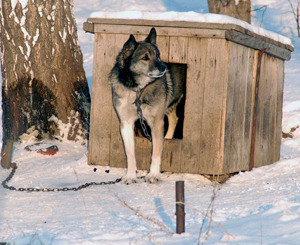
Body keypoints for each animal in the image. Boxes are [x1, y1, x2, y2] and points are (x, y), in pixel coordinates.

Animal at [110, 27, 185, 184]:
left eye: (158, 55)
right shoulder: (126, 123)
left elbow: (156, 152)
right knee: (174, 119)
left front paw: (153, 174)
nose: (163, 67)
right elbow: (130, 154)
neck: (137, 90)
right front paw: (131, 175)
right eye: (145, 58)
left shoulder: (156, 123)